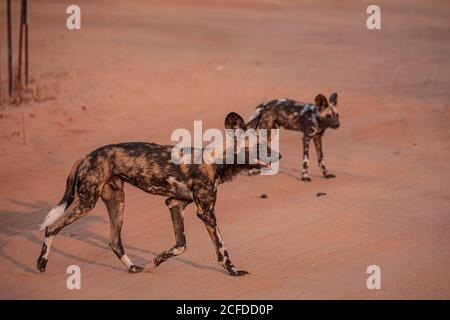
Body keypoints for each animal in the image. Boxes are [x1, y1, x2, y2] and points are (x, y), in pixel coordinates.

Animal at [37, 112, 280, 276]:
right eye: (260, 147)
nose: (279, 155)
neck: (216, 161)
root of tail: (87, 154)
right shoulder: (206, 213)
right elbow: (222, 248)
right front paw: (234, 271)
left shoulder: (174, 204)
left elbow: (181, 245)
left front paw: (156, 260)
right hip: (86, 203)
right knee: (52, 227)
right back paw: (41, 264)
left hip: (117, 202)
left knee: (115, 242)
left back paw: (134, 268)